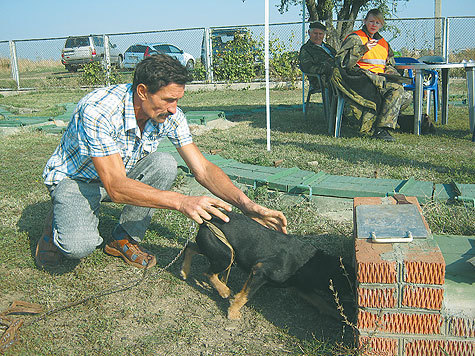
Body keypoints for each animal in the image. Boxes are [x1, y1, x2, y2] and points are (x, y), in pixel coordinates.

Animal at [180, 211, 356, 320]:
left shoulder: (302, 288)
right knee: (208, 273)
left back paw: (184, 271)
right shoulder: (260, 271)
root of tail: (207, 220)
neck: (311, 263)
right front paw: (233, 312)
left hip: (218, 249)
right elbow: (245, 296)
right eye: (350, 283)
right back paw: (223, 290)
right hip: (226, 255)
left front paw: (341, 316)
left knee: (190, 247)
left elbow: (322, 303)